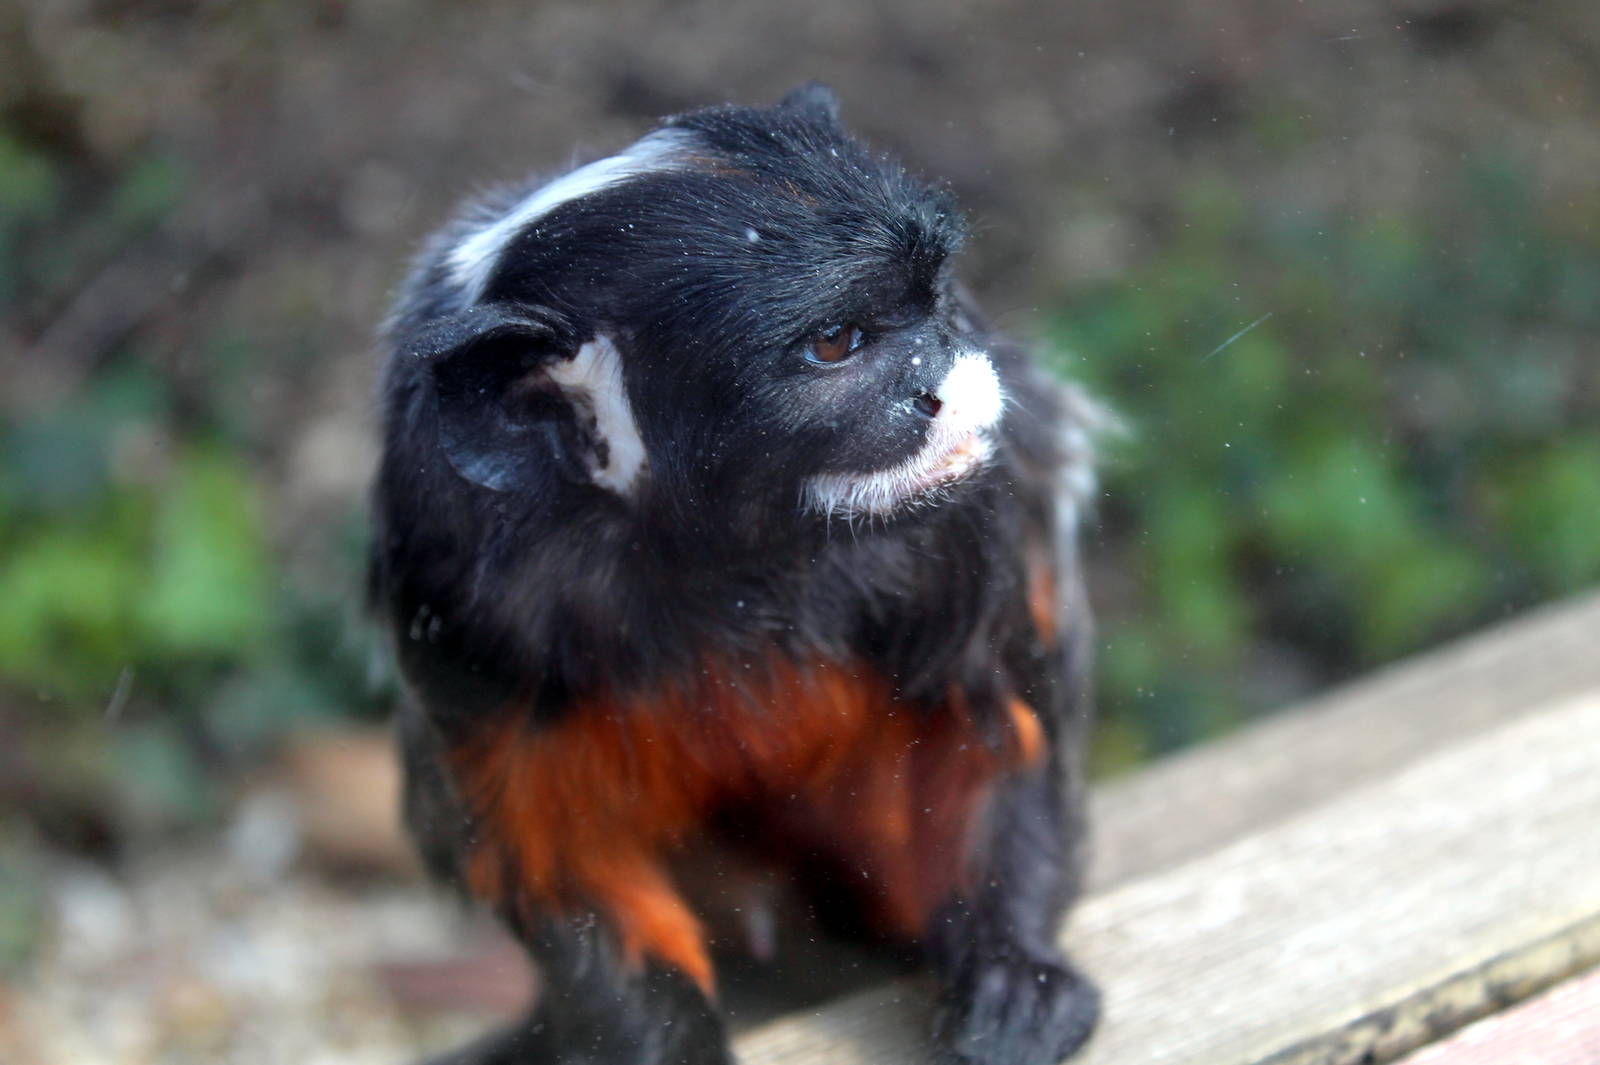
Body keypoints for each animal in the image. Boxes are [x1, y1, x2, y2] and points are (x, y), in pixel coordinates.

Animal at [369, 83, 1102, 1065]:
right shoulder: (460, 583)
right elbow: (556, 851)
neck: (718, 564)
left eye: (933, 305)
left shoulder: (959, 523)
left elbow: (989, 725)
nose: (945, 385)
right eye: (836, 343)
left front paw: (1010, 966)